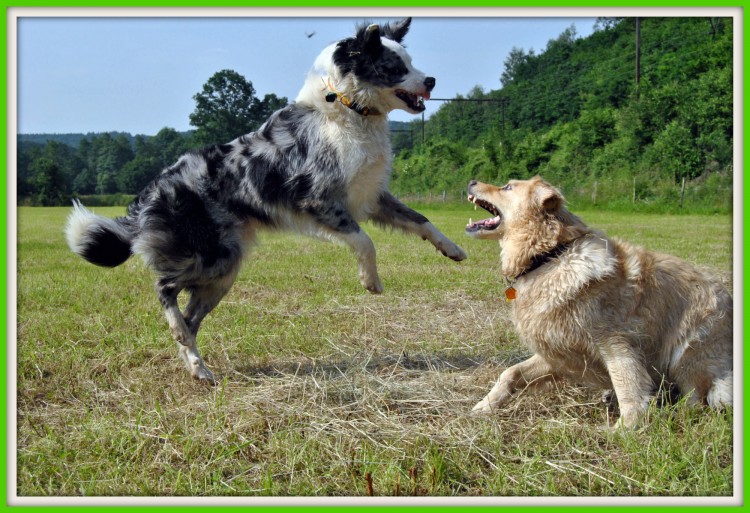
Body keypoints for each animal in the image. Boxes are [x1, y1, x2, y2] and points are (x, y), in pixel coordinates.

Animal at [464, 176, 736, 428]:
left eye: (507, 187)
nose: (471, 181)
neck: (550, 256)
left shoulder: (616, 345)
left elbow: (628, 388)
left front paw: (624, 430)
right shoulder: (558, 352)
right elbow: (510, 373)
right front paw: (485, 406)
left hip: (687, 355)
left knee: (697, 399)